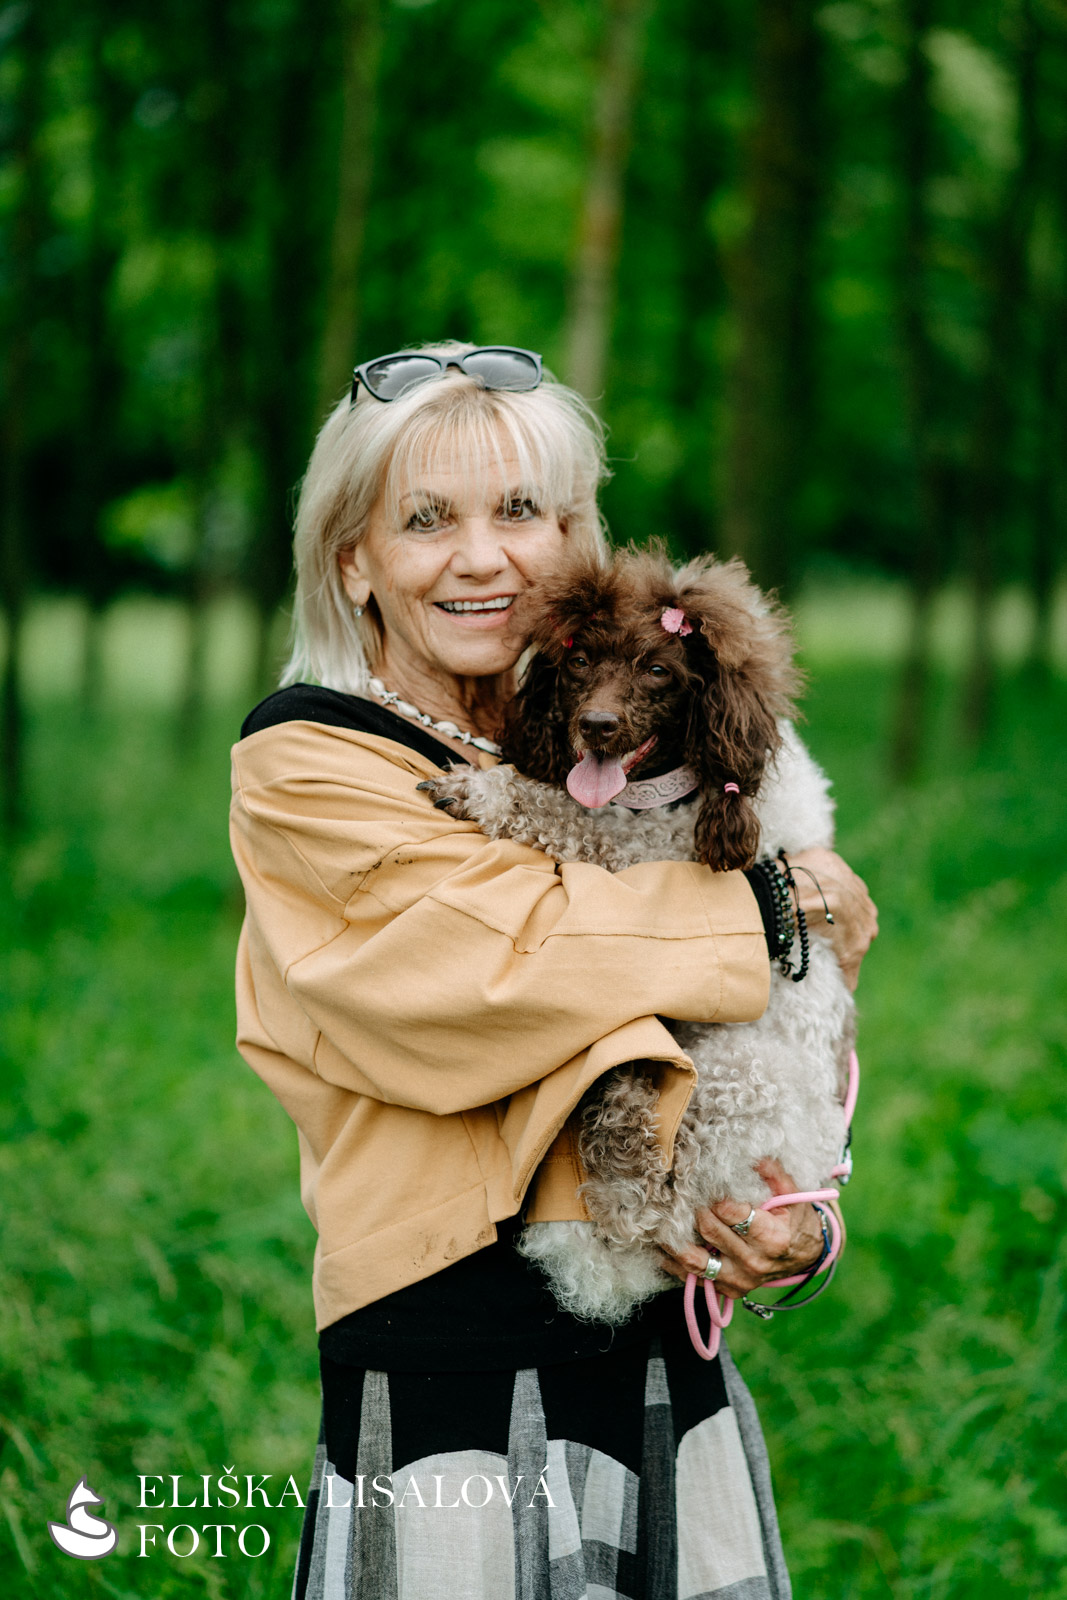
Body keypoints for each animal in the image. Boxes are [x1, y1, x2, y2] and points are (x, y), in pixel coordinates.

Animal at [421, 545, 856, 1325]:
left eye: (658, 670)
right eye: (577, 660)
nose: (595, 724)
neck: (671, 789)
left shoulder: (654, 855)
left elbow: (563, 812)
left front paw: (479, 789)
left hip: (738, 1083)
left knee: (648, 1182)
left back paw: (620, 1143)